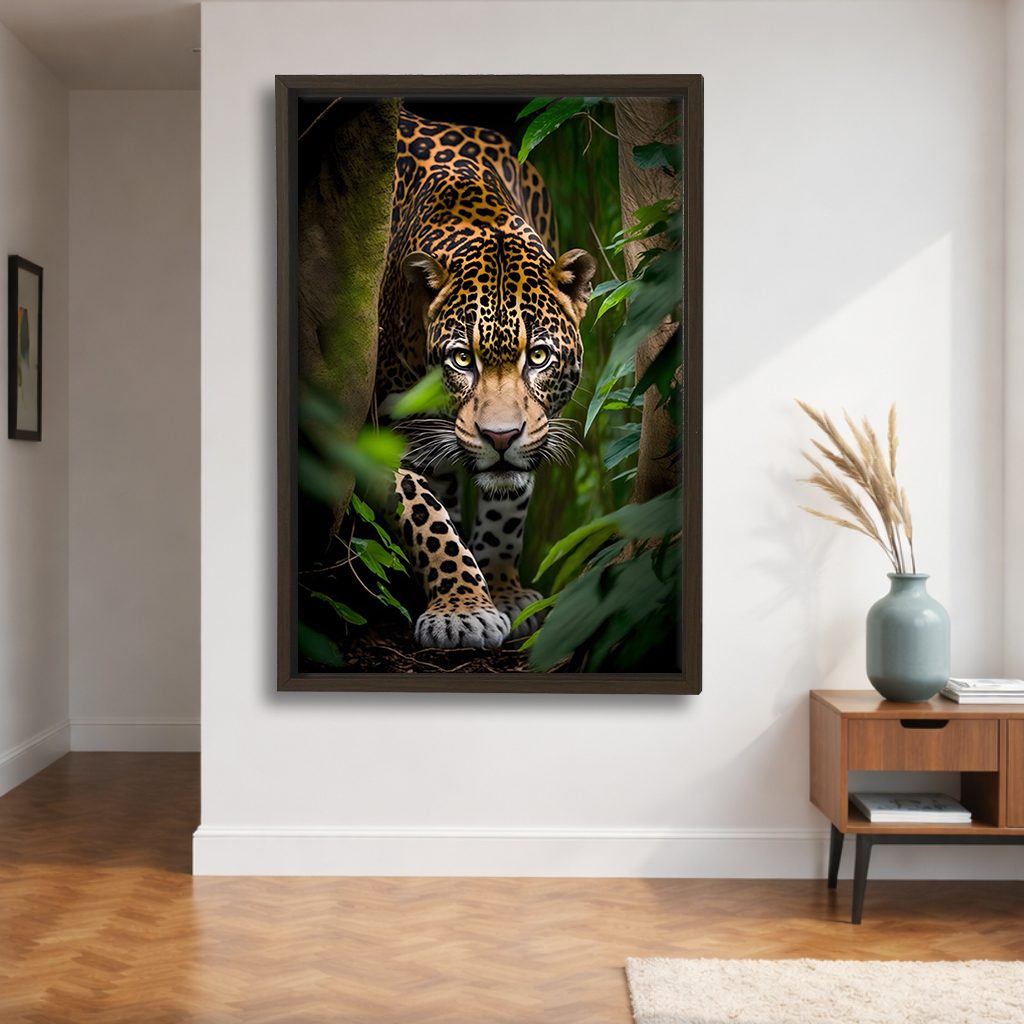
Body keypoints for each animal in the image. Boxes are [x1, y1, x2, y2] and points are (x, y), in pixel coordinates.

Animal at [376, 107, 597, 651]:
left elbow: (507, 510)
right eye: (461, 360)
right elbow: (426, 515)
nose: (500, 437)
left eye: (537, 356)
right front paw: (462, 609)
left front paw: (502, 591)